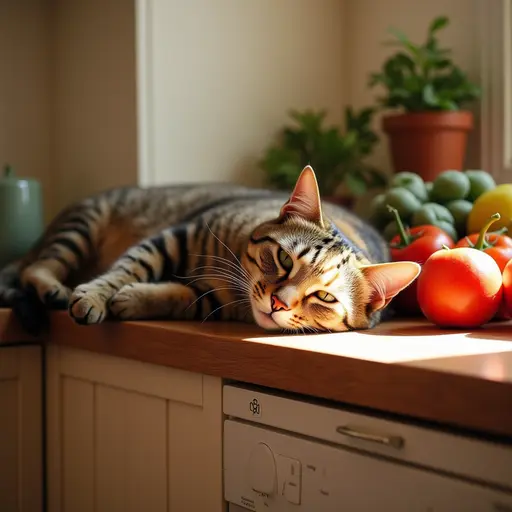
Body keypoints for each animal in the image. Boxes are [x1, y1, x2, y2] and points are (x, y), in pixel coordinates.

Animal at [0, 166, 418, 334]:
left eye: (325, 297)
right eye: (284, 259)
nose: (278, 304)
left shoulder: (209, 299)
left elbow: (179, 297)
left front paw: (134, 300)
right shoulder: (175, 235)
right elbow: (127, 267)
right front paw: (96, 296)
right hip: (80, 227)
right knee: (35, 267)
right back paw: (57, 289)